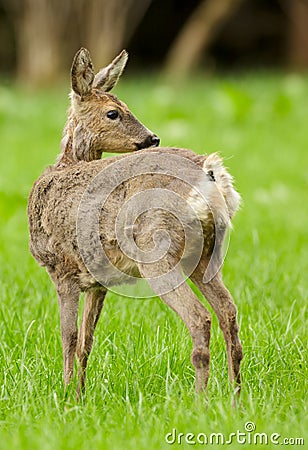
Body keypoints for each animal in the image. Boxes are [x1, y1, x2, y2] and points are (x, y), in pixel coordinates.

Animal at [27, 47, 242, 400]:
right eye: (114, 112)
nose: (152, 137)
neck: (64, 165)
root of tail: (210, 175)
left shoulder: (61, 268)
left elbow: (68, 336)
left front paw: (67, 395)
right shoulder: (96, 281)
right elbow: (86, 339)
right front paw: (80, 395)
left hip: (158, 250)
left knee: (200, 318)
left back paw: (200, 401)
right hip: (208, 256)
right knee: (229, 314)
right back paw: (235, 399)